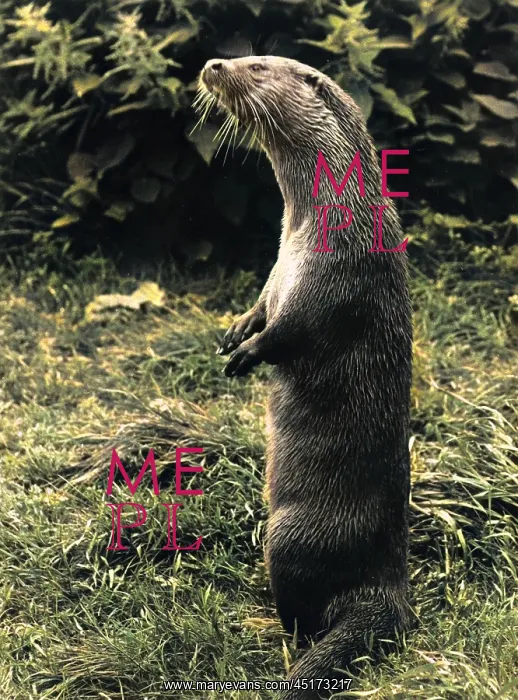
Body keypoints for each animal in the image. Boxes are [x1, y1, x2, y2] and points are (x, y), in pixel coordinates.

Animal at [196, 56, 413, 698]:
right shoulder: (278, 266)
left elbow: (294, 331)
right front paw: (235, 331)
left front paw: (248, 354)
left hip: (292, 535)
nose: (214, 63)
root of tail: (387, 589)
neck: (313, 224)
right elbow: (263, 305)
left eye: (258, 65)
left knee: (306, 613)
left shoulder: (337, 275)